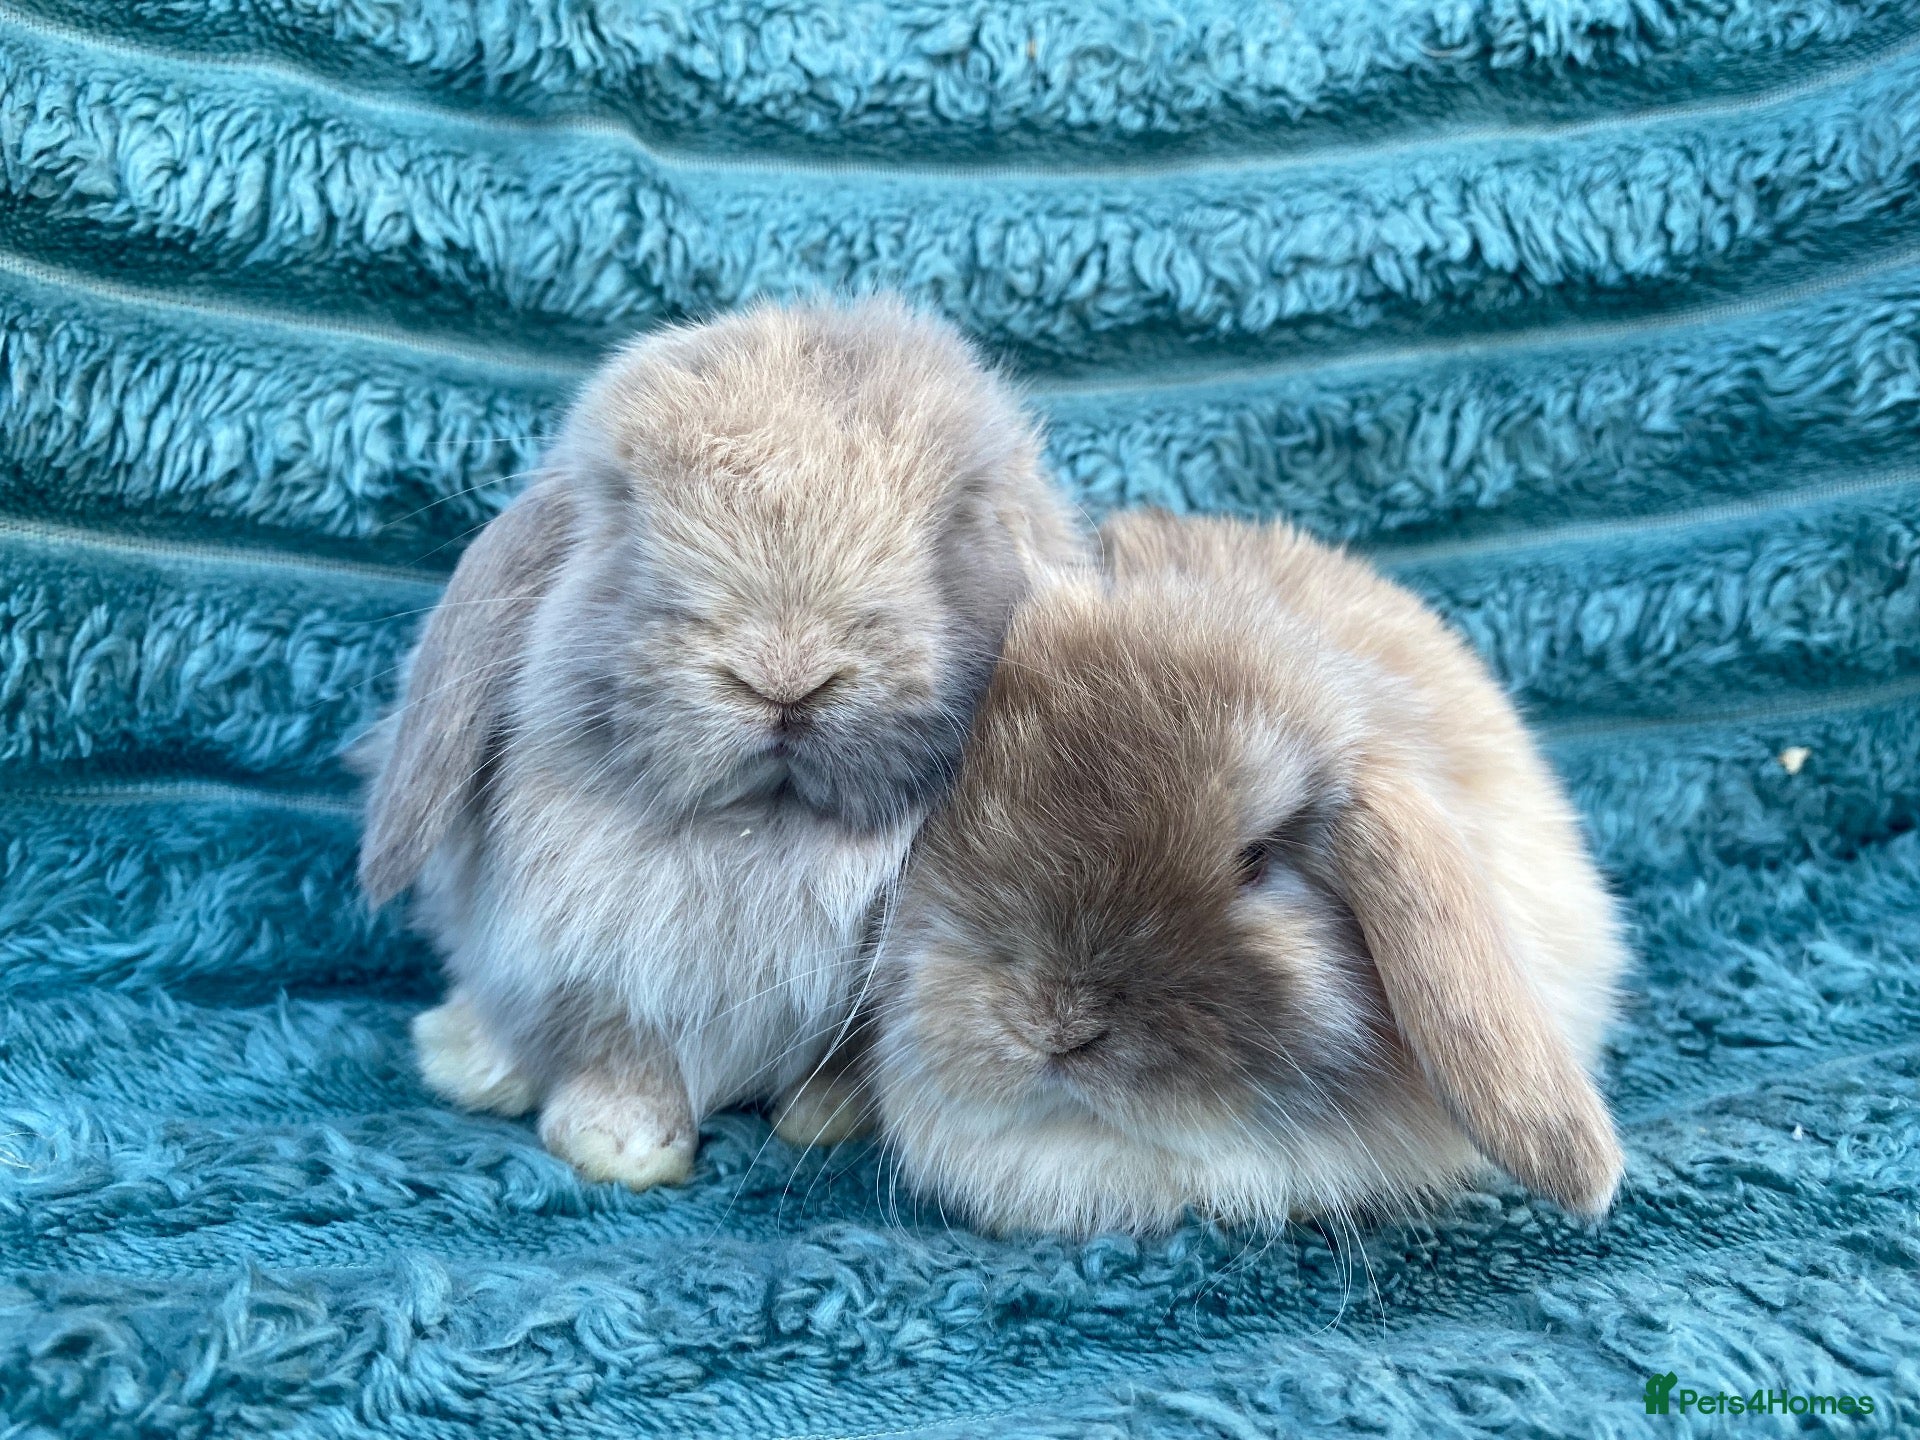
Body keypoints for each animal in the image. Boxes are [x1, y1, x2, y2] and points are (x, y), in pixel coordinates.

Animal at [358, 297, 1086, 1189]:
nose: (785, 674)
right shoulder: (596, 970)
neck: (760, 829)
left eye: (961, 518)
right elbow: (622, 1054)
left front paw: (828, 1119)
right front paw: (621, 1150)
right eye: (623, 508)